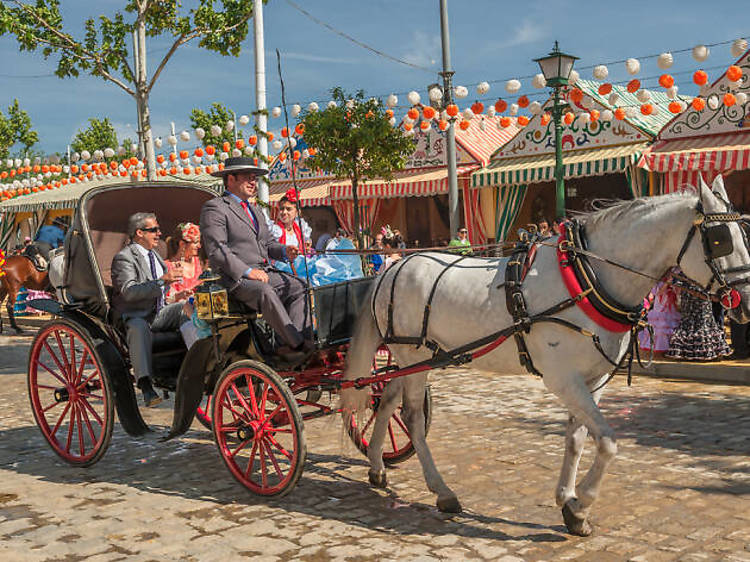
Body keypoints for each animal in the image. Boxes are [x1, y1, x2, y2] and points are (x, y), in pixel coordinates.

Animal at [344, 176, 750, 532]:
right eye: (719, 240)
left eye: (743, 233)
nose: (745, 301)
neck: (588, 278)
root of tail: (392, 267)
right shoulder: (563, 378)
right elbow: (608, 442)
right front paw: (582, 503)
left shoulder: (594, 379)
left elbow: (577, 438)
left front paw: (568, 501)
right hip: (414, 358)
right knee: (412, 418)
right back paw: (442, 491)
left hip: (412, 358)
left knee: (385, 401)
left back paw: (377, 466)